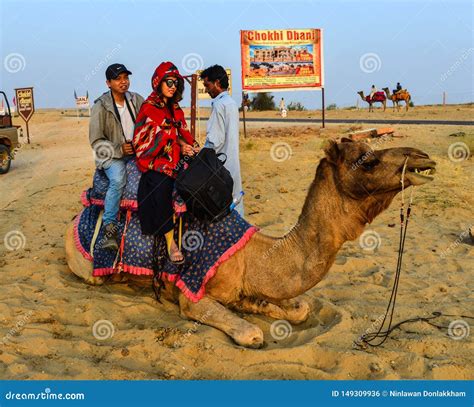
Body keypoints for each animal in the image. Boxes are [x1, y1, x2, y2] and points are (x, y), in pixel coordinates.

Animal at [65, 139, 436, 348]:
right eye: (368, 160)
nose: (423, 159)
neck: (254, 254)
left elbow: (298, 308)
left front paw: (258, 305)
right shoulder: (191, 292)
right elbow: (250, 334)